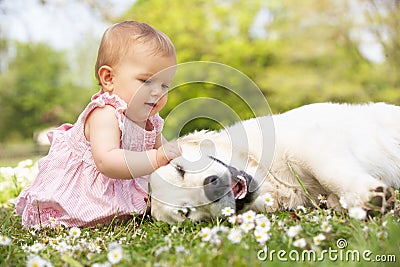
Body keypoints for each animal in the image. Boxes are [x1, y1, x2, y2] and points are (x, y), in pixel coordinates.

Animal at [148, 102, 398, 224]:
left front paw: (366, 195)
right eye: (186, 212)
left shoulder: (310, 144)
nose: (212, 187)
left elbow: (329, 173)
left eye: (179, 170)